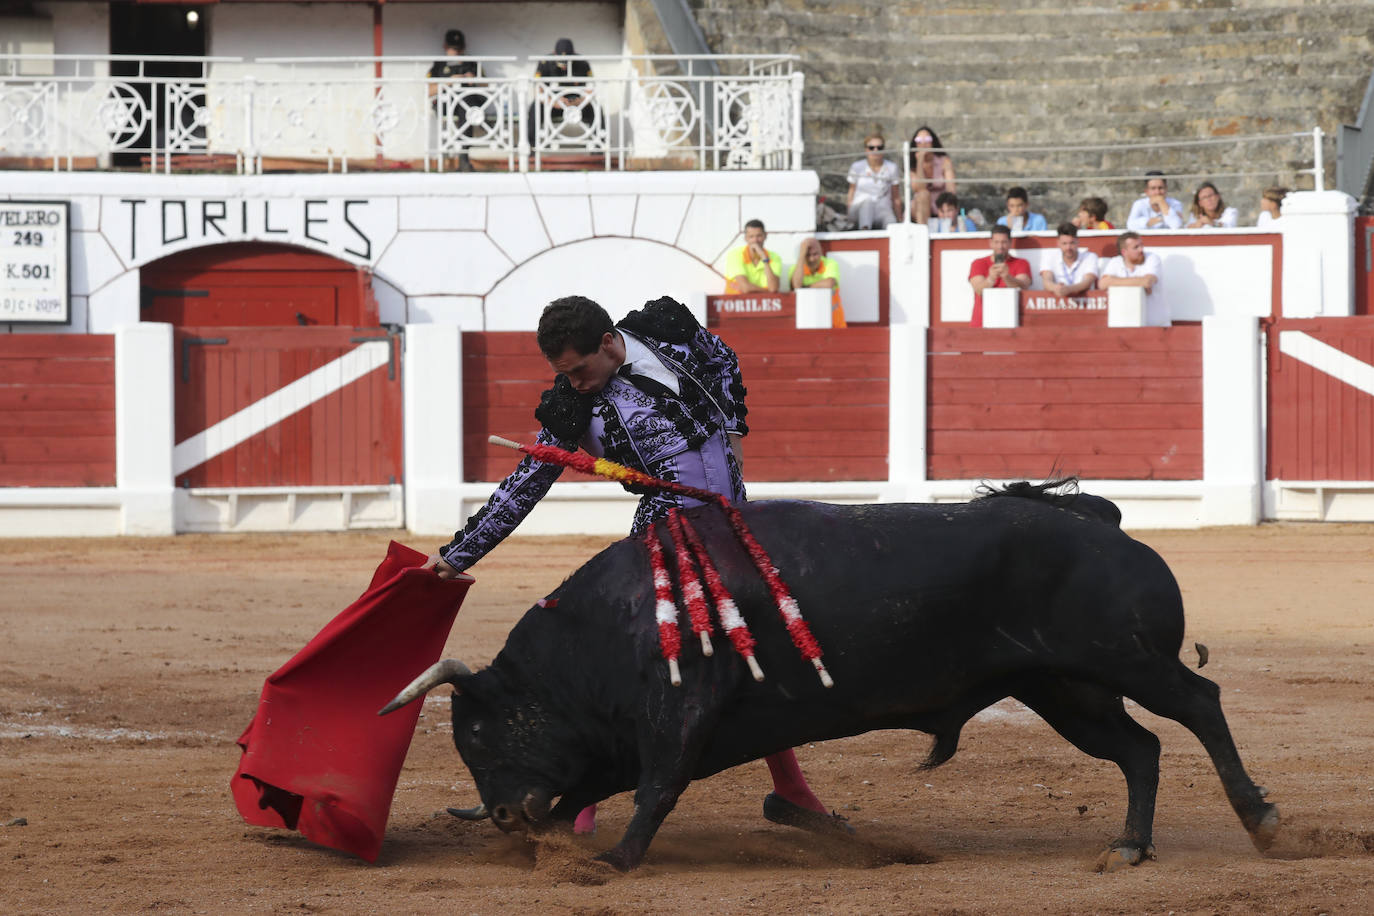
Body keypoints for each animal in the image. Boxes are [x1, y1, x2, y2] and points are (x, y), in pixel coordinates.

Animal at [376, 483, 1275, 873]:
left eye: (480, 732)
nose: (503, 815)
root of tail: (1100, 520)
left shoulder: (679, 713)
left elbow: (658, 787)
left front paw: (615, 859)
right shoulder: (624, 738)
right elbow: (594, 788)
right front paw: (564, 843)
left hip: (1124, 660)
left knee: (1199, 705)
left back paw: (1258, 817)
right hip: (1065, 688)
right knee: (1140, 748)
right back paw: (1128, 845)